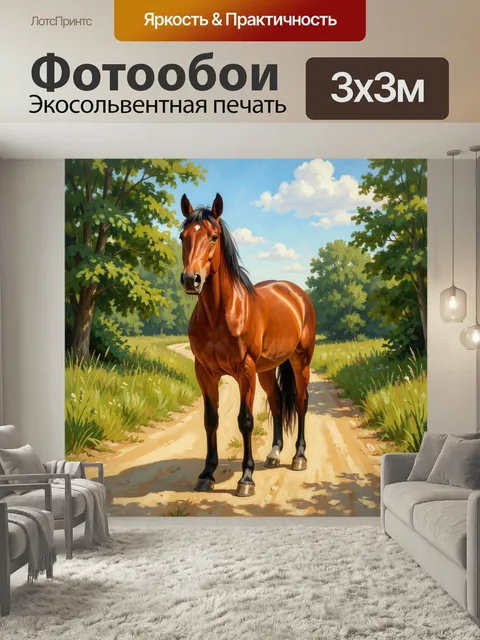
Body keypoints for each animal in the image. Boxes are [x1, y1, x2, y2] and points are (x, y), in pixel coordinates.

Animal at [179, 193, 316, 498]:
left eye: (214, 236)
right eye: (182, 236)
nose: (191, 279)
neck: (220, 313)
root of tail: (296, 293)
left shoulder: (245, 371)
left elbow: (245, 421)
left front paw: (246, 478)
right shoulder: (204, 372)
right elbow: (211, 419)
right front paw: (207, 473)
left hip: (300, 362)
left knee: (301, 402)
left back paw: (299, 457)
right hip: (266, 370)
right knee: (277, 401)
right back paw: (275, 453)